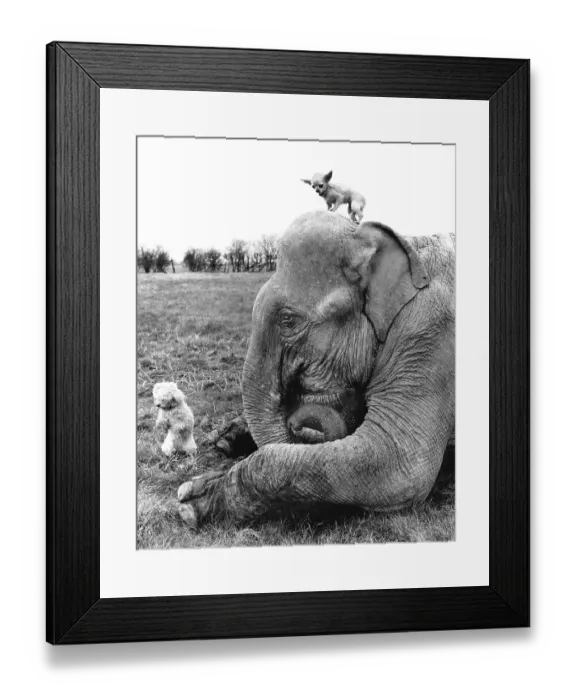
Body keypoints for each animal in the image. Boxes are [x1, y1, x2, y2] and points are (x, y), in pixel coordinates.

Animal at [178, 210, 455, 527]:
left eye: (288, 321)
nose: (301, 426)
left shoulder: (429, 332)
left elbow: (397, 466)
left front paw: (195, 498)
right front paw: (225, 442)